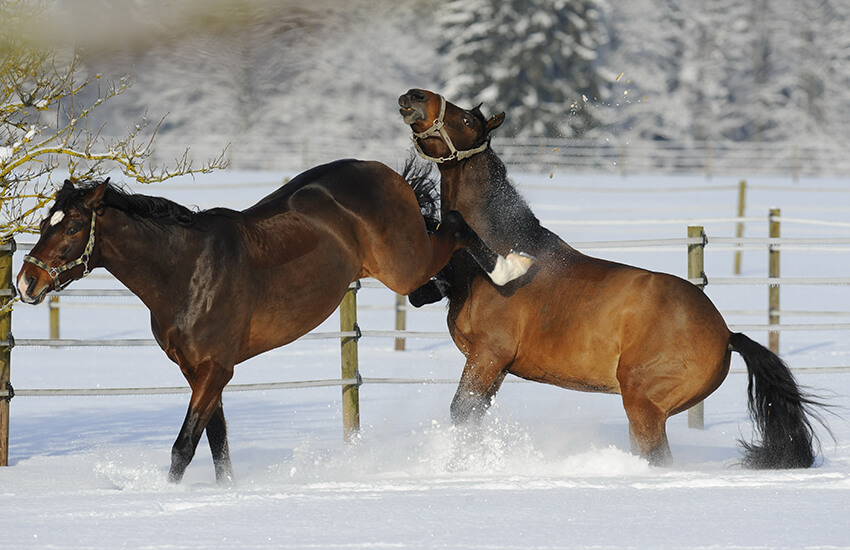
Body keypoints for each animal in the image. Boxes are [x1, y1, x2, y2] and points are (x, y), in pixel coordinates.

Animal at [14, 158, 528, 484]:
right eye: (43, 224)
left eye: (72, 227)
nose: (25, 283)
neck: (185, 271)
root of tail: (379, 170)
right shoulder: (199, 372)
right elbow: (217, 444)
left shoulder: (215, 370)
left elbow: (185, 445)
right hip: (402, 270)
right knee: (433, 274)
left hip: (404, 262)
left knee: (456, 224)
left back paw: (512, 267)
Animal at [400, 90, 824, 470]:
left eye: (467, 120)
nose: (414, 97)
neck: (499, 253)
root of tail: (726, 334)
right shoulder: (494, 366)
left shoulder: (488, 355)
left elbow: (462, 415)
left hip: (642, 405)